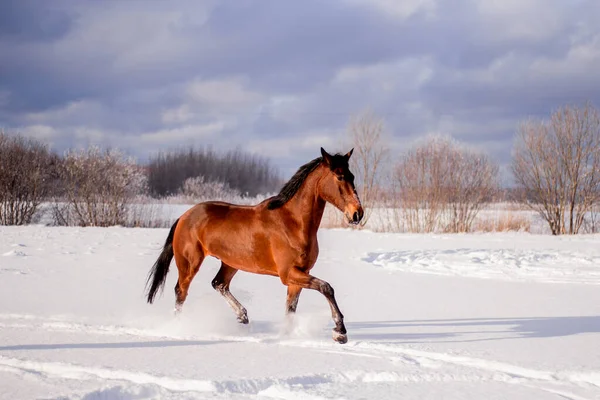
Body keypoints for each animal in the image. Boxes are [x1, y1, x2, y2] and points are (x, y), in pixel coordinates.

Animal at [146, 148, 364, 342]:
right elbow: (327, 288)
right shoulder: (288, 274)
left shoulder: (298, 276)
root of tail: (184, 216)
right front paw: (340, 332)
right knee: (181, 292)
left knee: (219, 283)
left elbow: (291, 309)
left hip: (230, 263)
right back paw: (179, 328)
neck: (293, 222)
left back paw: (242, 316)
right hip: (189, 264)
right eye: (339, 177)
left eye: (352, 176)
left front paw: (286, 336)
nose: (357, 214)